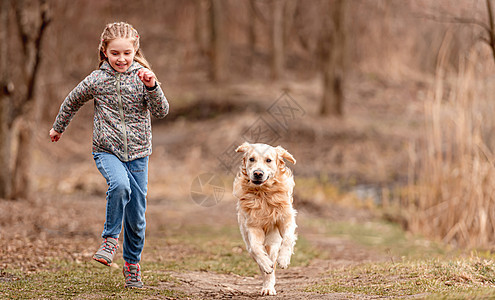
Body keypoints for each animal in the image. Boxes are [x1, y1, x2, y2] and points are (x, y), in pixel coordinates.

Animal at [233, 142, 298, 294]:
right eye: (251, 159)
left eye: (268, 160)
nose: (258, 173)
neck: (263, 194)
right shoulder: (252, 226)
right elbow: (256, 248)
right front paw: (265, 263)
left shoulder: (286, 218)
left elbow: (288, 238)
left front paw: (284, 259)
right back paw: (267, 282)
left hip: (273, 242)